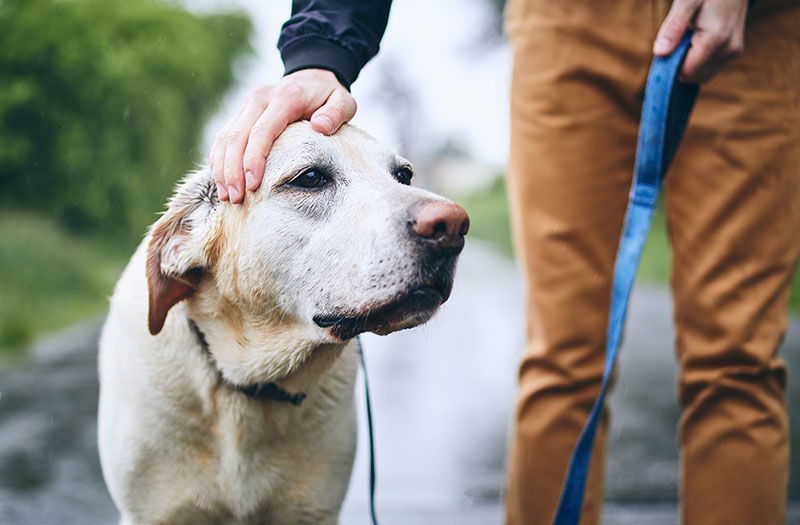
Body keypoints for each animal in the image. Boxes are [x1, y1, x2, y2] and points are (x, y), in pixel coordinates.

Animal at [97, 123, 468, 524]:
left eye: (404, 176)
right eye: (310, 178)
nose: (453, 225)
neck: (250, 385)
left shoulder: (313, 510)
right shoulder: (152, 513)